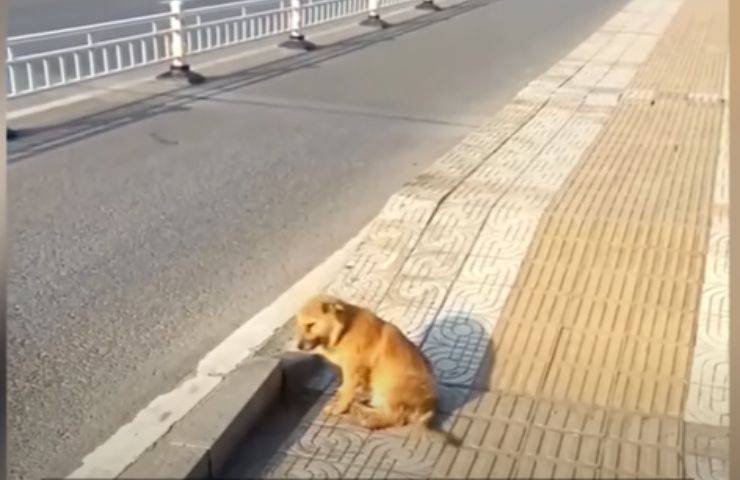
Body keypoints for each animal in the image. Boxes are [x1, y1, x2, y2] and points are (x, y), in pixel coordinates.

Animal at [294, 296, 456, 446]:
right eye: (300, 326)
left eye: (310, 325)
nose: (299, 347)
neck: (345, 329)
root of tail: (430, 408)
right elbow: (351, 388)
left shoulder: (353, 370)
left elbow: (348, 391)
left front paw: (339, 407)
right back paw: (361, 409)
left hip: (393, 386)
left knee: (396, 417)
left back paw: (369, 419)